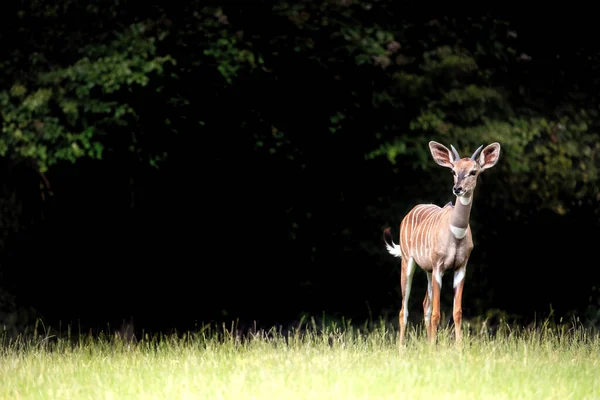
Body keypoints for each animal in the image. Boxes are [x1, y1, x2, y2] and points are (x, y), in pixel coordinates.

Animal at [384, 140, 502, 344]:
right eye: (453, 171)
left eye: (473, 171)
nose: (458, 188)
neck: (455, 236)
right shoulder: (439, 265)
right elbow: (437, 314)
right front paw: (433, 347)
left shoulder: (461, 266)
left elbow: (457, 312)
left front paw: (458, 347)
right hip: (408, 260)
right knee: (404, 309)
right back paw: (402, 348)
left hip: (427, 270)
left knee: (425, 304)